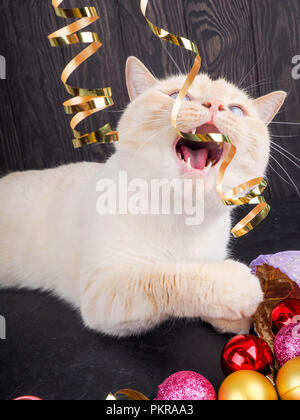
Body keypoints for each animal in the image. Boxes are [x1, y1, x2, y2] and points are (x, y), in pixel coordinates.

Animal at [0, 57, 286, 336]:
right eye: (177, 95)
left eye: (236, 111)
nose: (214, 105)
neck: (184, 217)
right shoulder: (103, 290)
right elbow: (169, 276)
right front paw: (239, 287)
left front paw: (237, 318)